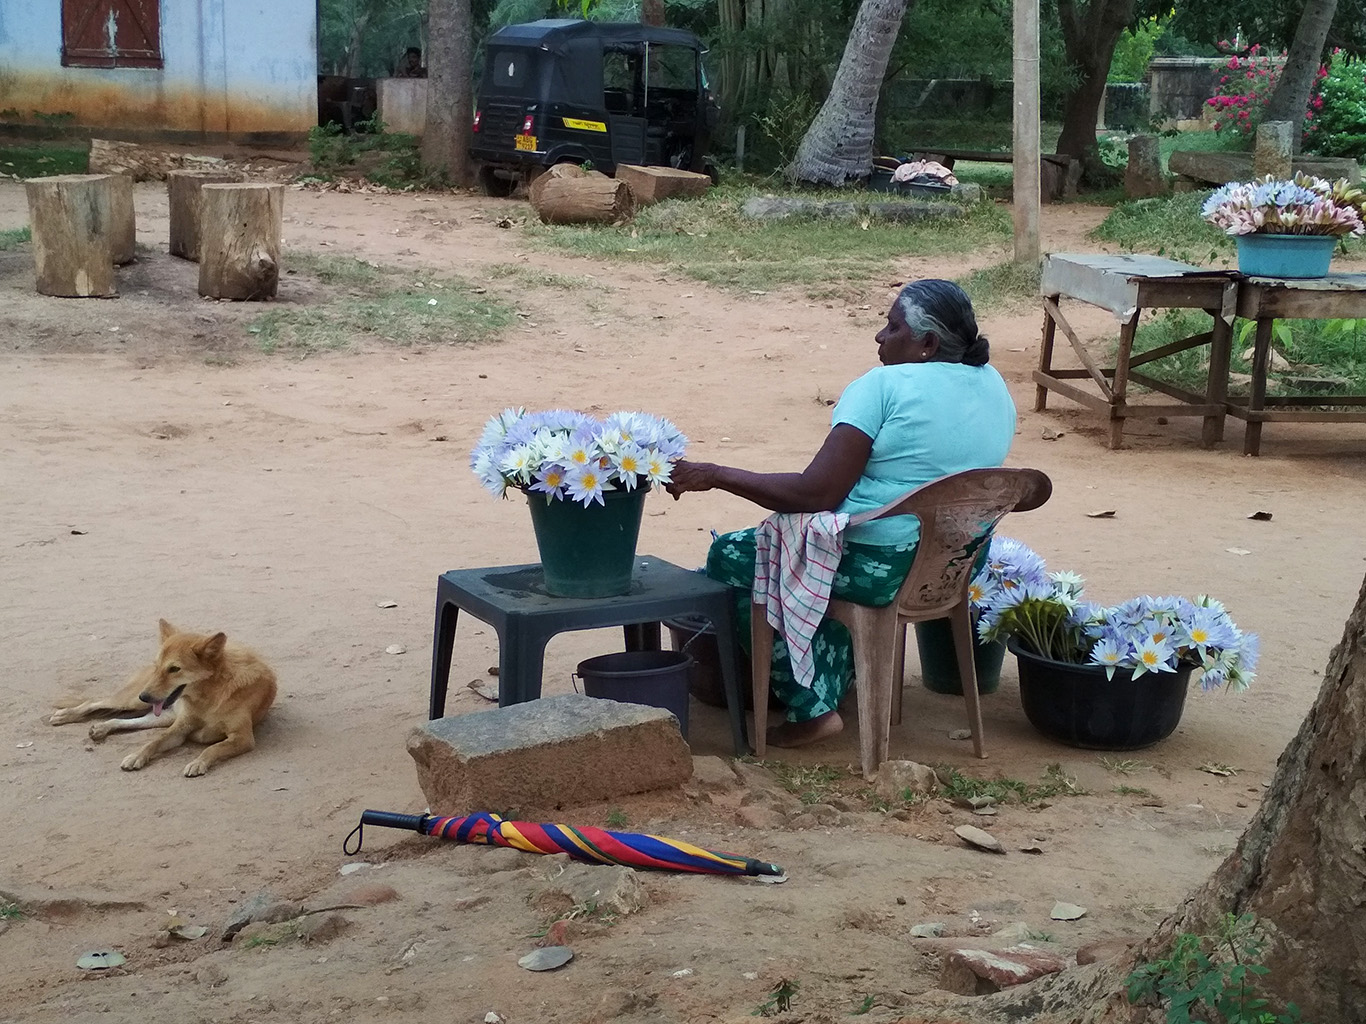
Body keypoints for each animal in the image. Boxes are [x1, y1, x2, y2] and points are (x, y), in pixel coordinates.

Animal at [49, 617, 278, 775]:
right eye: (158, 665)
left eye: (174, 669)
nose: (145, 696)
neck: (208, 696)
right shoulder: (179, 728)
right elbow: (155, 742)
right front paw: (137, 755)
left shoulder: (243, 738)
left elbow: (213, 748)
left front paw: (198, 762)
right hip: (132, 701)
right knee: (94, 702)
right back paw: (65, 715)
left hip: (159, 715)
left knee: (121, 720)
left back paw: (102, 728)